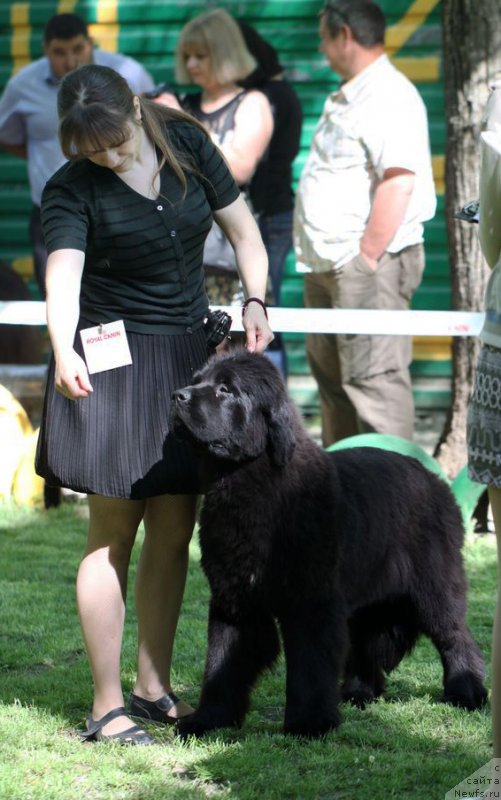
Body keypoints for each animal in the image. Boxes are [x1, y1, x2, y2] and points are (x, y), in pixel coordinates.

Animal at [170, 350, 486, 736]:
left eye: (225, 389)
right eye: (197, 380)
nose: (178, 396)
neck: (247, 482)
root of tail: (436, 480)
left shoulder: (311, 600)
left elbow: (309, 663)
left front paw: (309, 723)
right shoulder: (234, 599)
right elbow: (221, 663)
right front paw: (208, 720)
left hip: (432, 587)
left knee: (454, 635)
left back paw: (467, 692)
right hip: (370, 596)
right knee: (366, 642)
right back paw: (359, 691)